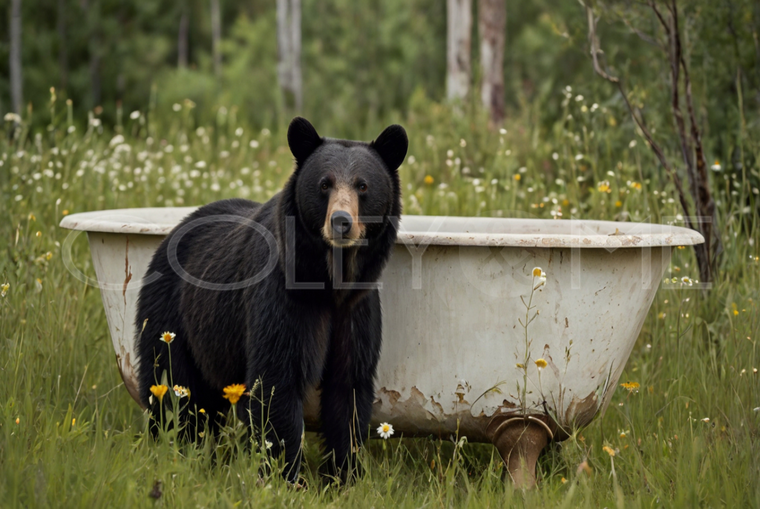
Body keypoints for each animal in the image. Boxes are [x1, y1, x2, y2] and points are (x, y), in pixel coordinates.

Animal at [135, 117, 407, 483]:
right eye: (325, 184)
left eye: (362, 186)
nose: (341, 222)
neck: (329, 281)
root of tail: (175, 230)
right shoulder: (282, 299)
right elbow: (277, 378)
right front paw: (286, 475)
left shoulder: (357, 309)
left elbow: (349, 384)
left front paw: (343, 474)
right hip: (172, 317)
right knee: (171, 387)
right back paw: (175, 450)